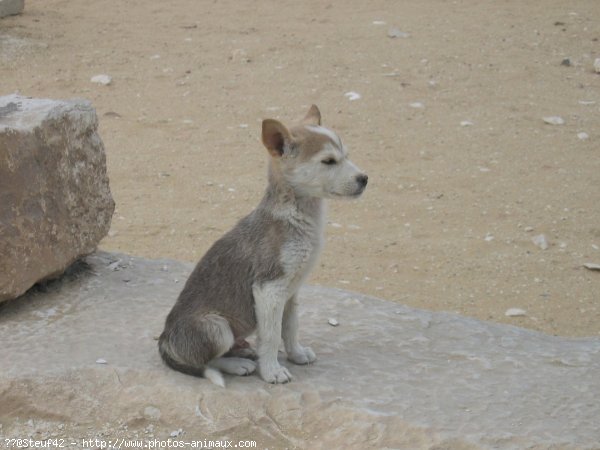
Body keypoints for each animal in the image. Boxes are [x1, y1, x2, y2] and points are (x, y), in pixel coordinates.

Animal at [158, 105, 366, 386]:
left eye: (346, 156)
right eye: (329, 161)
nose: (364, 179)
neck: (296, 216)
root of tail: (164, 341)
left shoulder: (291, 291)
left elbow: (290, 327)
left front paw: (296, 354)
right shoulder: (269, 288)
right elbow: (271, 336)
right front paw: (272, 371)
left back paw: (244, 351)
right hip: (217, 328)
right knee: (205, 361)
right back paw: (238, 364)